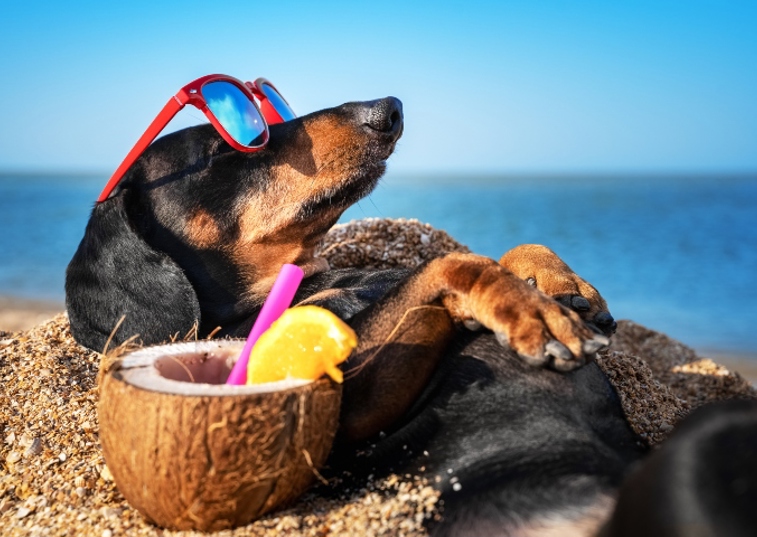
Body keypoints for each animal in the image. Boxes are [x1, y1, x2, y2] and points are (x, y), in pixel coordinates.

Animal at [68, 98, 752, 532]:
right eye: (225, 148)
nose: (388, 108)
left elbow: (485, 256)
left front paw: (562, 285)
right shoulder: (338, 425)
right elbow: (451, 264)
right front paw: (525, 308)